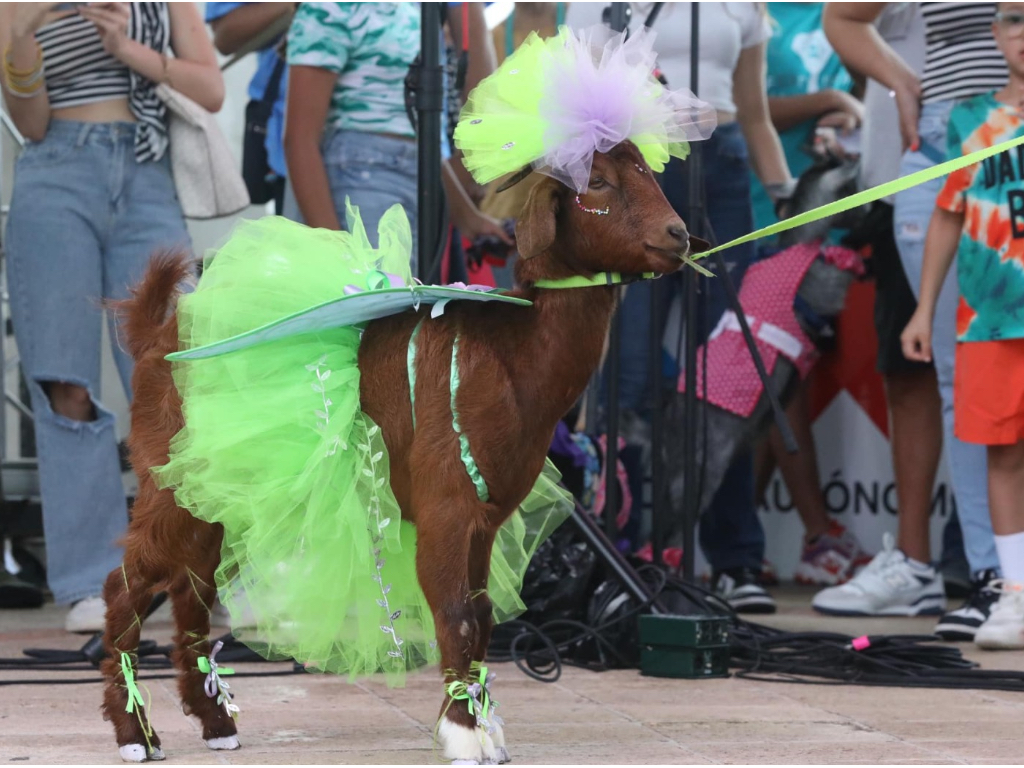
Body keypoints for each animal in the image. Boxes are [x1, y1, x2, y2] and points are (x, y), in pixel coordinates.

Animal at [99, 143, 700, 765]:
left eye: (649, 171)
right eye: (597, 182)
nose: (679, 234)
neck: (511, 357)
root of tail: (153, 339)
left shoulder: (485, 519)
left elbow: (482, 614)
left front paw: (484, 726)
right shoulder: (445, 503)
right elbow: (455, 614)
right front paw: (462, 731)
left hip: (221, 496)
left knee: (190, 590)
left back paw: (216, 722)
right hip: (172, 480)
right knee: (127, 585)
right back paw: (135, 733)